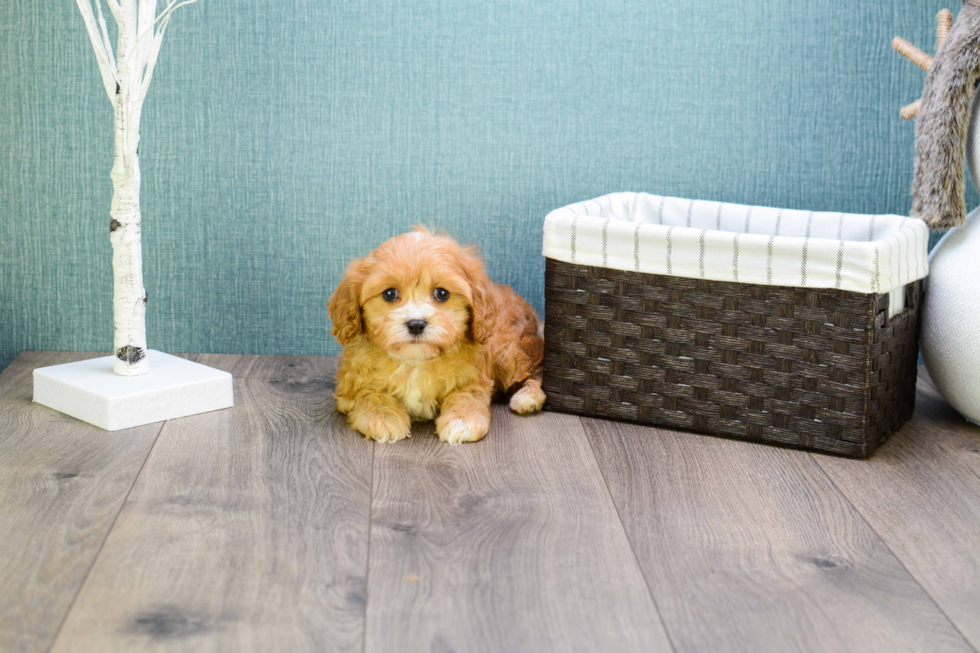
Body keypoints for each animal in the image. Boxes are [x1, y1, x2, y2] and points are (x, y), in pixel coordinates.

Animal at [328, 225, 544, 444]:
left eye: (442, 293)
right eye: (389, 294)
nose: (416, 324)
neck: (415, 361)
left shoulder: (474, 375)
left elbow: (468, 394)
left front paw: (462, 420)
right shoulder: (350, 383)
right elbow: (367, 392)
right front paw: (383, 417)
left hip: (507, 351)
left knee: (537, 370)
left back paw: (528, 397)